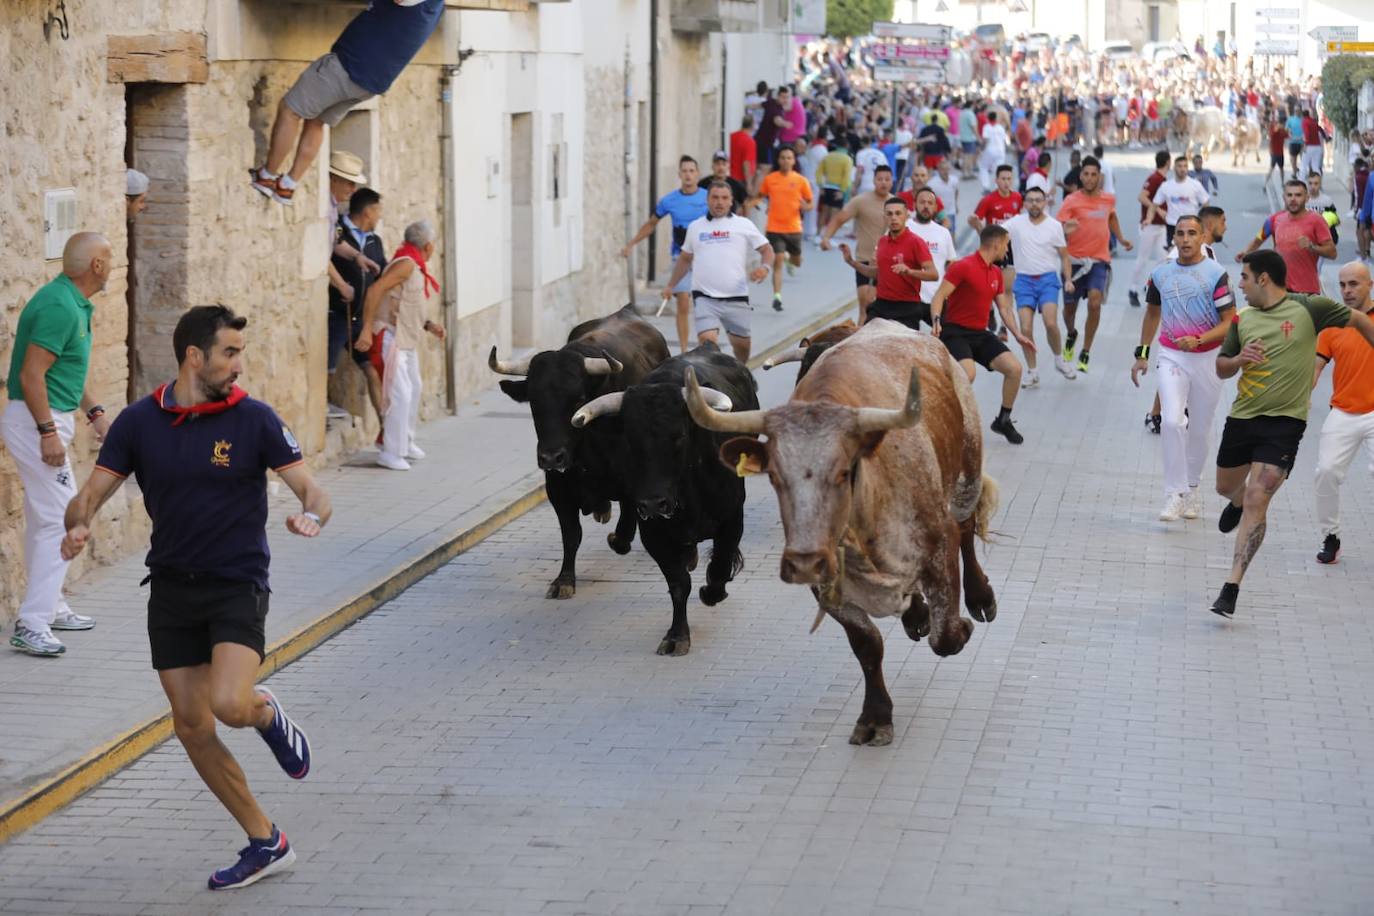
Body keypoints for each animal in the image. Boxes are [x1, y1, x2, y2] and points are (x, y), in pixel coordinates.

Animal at [491, 304, 667, 598]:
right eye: (534, 402)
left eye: (578, 399)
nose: (551, 457)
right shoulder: (558, 486)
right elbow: (571, 534)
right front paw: (564, 580)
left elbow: (625, 527)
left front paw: (618, 538)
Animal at [571, 341, 763, 650]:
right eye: (630, 440)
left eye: (679, 437)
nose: (653, 503)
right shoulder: (653, 533)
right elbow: (678, 583)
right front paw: (677, 635)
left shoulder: (733, 517)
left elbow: (720, 564)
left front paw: (712, 592)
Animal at [687, 321, 1000, 747]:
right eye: (775, 476)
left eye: (844, 471)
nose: (804, 560)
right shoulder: (824, 583)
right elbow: (867, 645)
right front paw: (876, 716)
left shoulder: (939, 547)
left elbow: (947, 636)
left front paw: (960, 623)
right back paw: (915, 613)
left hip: (967, 469)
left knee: (967, 530)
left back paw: (981, 597)